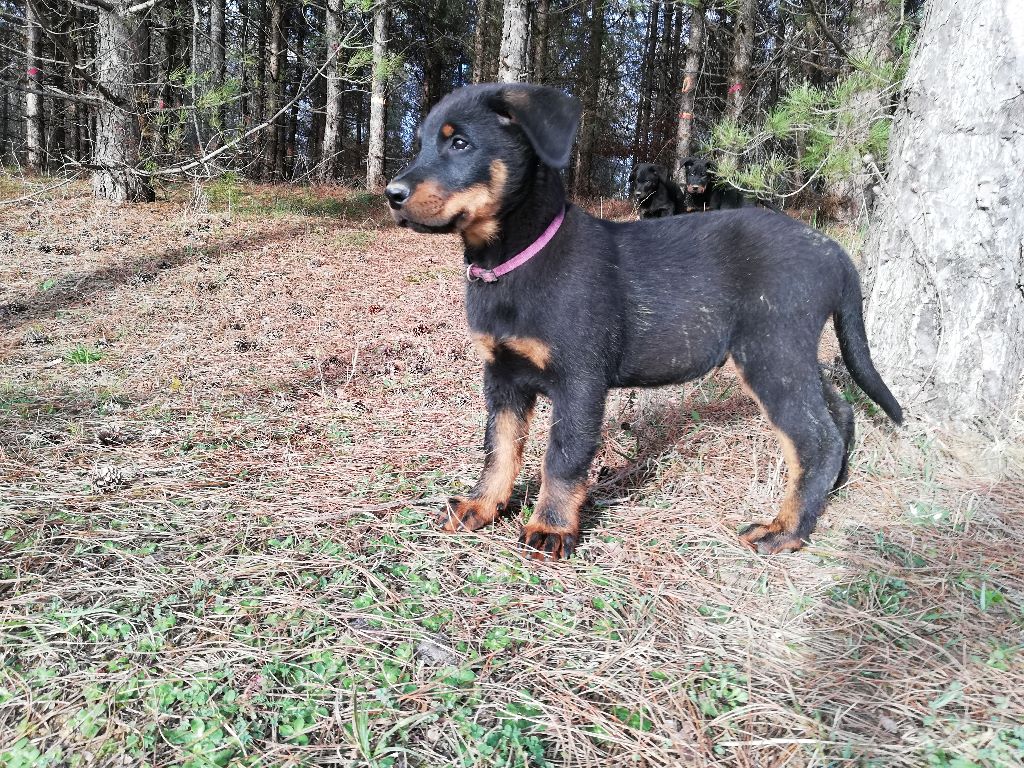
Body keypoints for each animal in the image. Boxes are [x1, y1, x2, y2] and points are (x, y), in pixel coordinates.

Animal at [384, 83, 902, 560]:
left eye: (460, 143)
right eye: (423, 143)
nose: (392, 195)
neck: (511, 261)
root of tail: (833, 253)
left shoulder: (580, 381)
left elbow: (562, 457)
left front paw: (550, 528)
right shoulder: (502, 376)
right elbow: (499, 447)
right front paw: (482, 505)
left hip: (771, 353)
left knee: (815, 439)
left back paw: (786, 530)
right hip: (791, 352)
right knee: (838, 414)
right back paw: (830, 491)